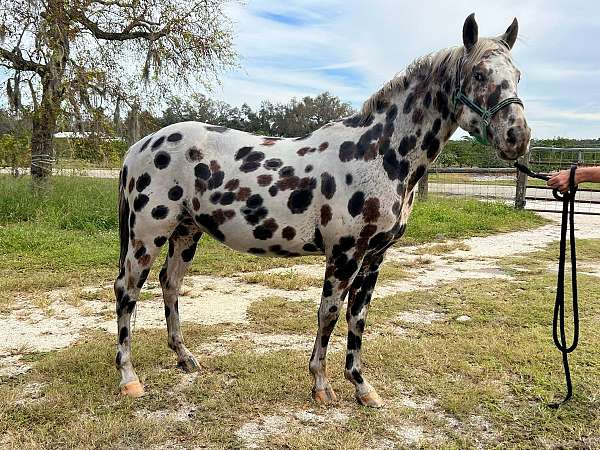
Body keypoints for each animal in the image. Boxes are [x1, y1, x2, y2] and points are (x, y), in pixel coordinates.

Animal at [113, 14, 528, 408]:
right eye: (479, 74)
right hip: (146, 236)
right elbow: (328, 312)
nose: (518, 137)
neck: (378, 153)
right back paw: (129, 378)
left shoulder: (374, 256)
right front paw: (321, 385)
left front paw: (362, 387)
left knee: (170, 283)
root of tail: (139, 147)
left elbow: (357, 317)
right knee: (127, 291)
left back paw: (184, 358)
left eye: (518, 75)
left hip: (186, 232)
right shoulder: (344, 254)